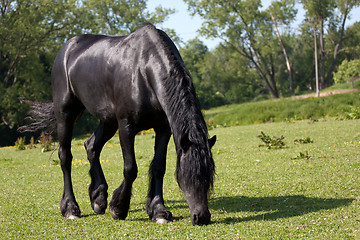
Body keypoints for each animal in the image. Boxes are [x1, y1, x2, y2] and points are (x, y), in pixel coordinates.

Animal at [21, 22, 217, 225]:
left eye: (209, 176)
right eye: (188, 175)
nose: (202, 216)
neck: (143, 70)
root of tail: (66, 49)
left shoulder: (163, 129)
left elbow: (158, 167)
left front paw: (158, 210)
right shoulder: (126, 127)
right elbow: (130, 169)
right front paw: (118, 208)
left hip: (108, 121)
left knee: (91, 146)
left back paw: (98, 197)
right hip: (65, 114)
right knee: (65, 156)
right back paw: (70, 208)